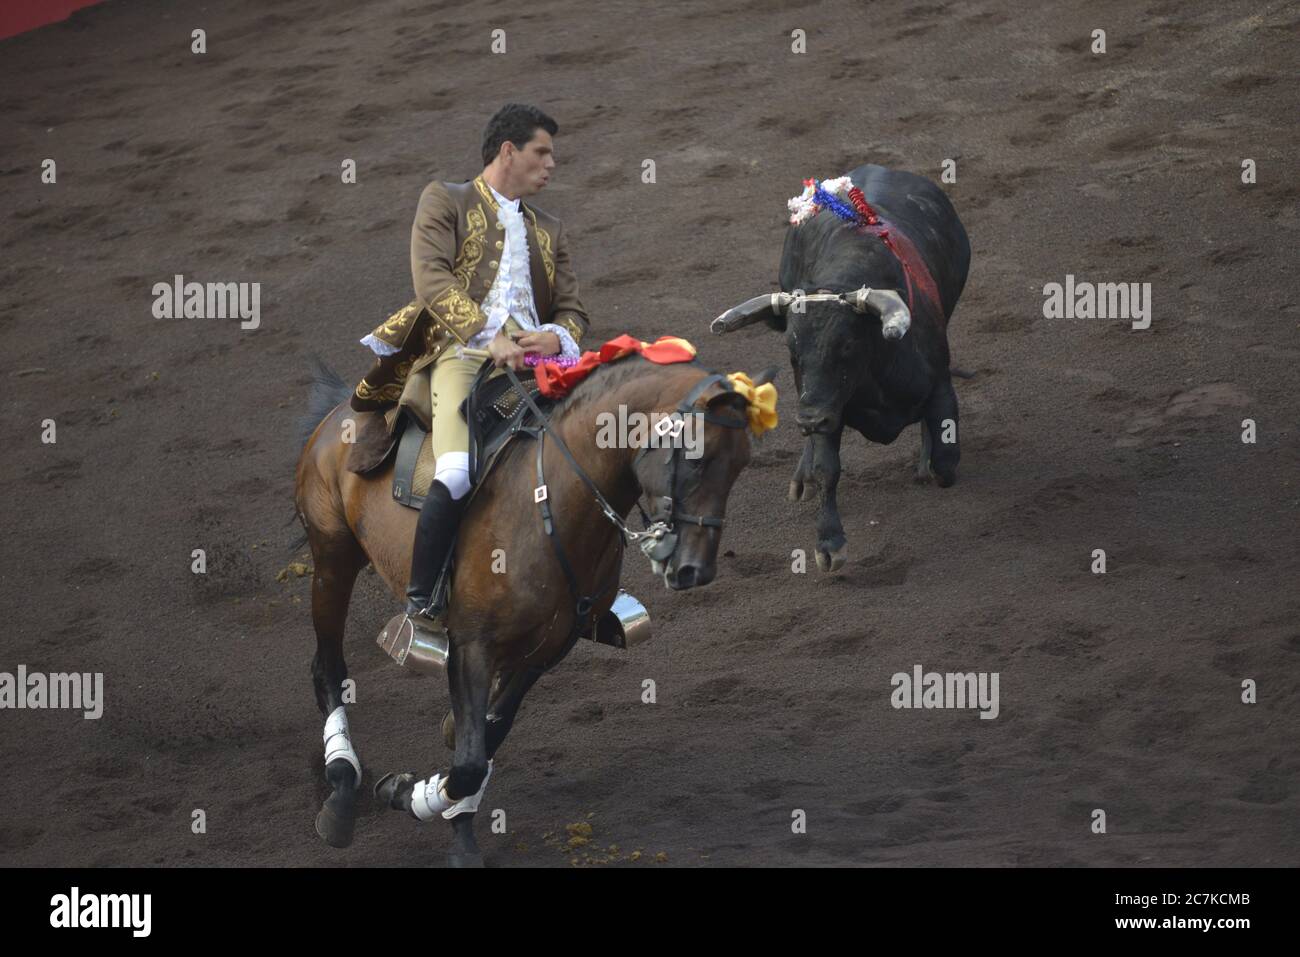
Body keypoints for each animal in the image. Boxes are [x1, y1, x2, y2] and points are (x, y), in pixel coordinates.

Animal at [292, 353, 769, 868]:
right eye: (696, 458)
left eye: (742, 464)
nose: (694, 569)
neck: (554, 503)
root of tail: (341, 409)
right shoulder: (471, 645)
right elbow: (469, 760)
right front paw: (410, 795)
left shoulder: (548, 648)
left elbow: (486, 737)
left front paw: (443, 812)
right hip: (333, 558)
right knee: (327, 667)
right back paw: (341, 791)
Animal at [712, 163, 977, 566]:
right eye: (792, 352)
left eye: (848, 346)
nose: (808, 419)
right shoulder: (829, 408)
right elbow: (828, 469)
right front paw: (829, 540)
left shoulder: (940, 386)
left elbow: (946, 460)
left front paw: (929, 460)